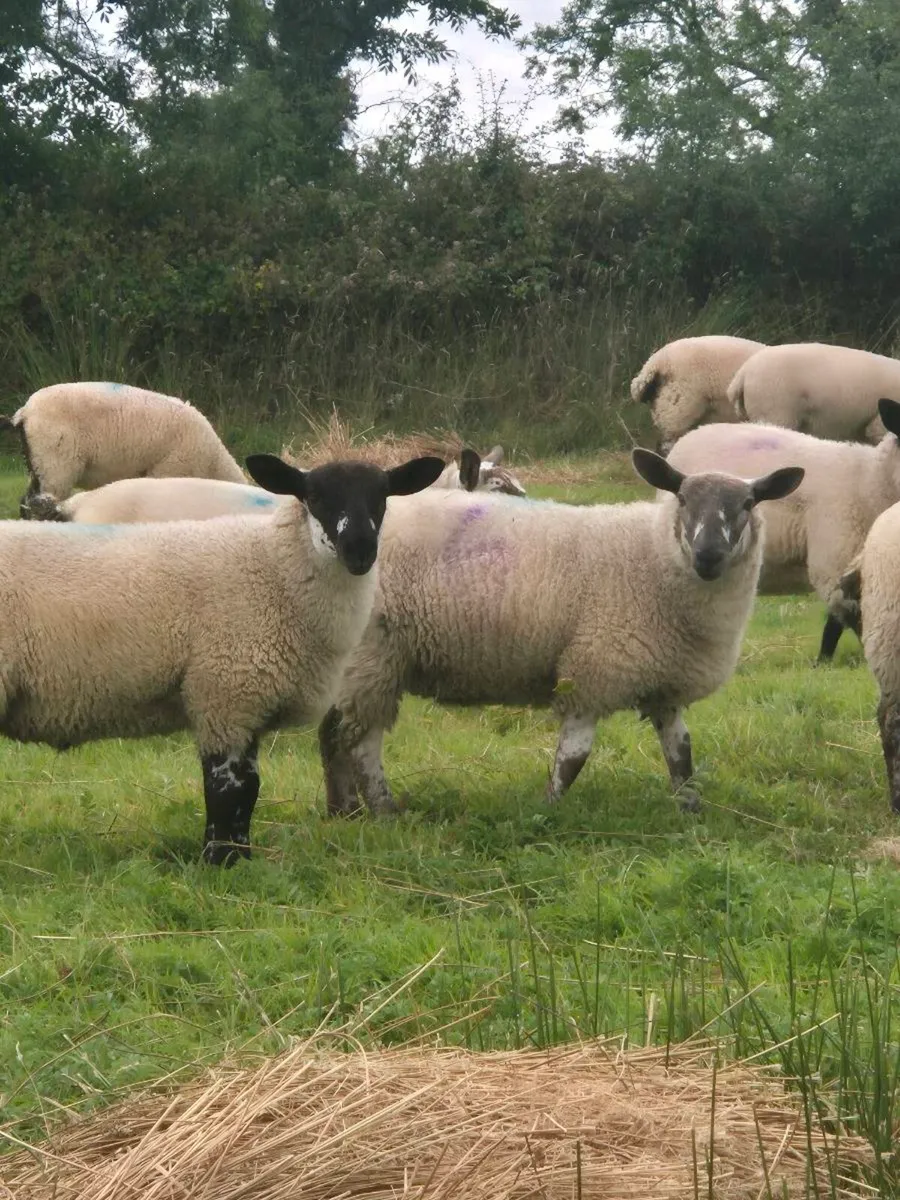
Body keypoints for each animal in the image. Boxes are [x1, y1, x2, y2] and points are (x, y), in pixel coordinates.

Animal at [0, 451, 445, 864]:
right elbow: (230, 789)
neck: (273, 570)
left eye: (382, 497)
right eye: (314, 496)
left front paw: (240, 858)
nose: (360, 551)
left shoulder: (247, 705)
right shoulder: (226, 693)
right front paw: (221, 861)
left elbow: (248, 790)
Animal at [4, 382, 247, 516]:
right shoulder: (167, 472)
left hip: (38, 462)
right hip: (56, 462)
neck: (213, 464)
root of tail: (25, 413)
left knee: (26, 504)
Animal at [317, 450, 803, 819]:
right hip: (372, 659)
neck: (654, 556)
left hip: (349, 664)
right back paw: (383, 811)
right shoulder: (594, 670)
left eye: (749, 504)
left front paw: (690, 810)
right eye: (682, 498)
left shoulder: (664, 682)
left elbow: (681, 755)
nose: (708, 555)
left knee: (331, 735)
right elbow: (572, 759)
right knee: (361, 743)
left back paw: (343, 812)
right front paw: (547, 811)